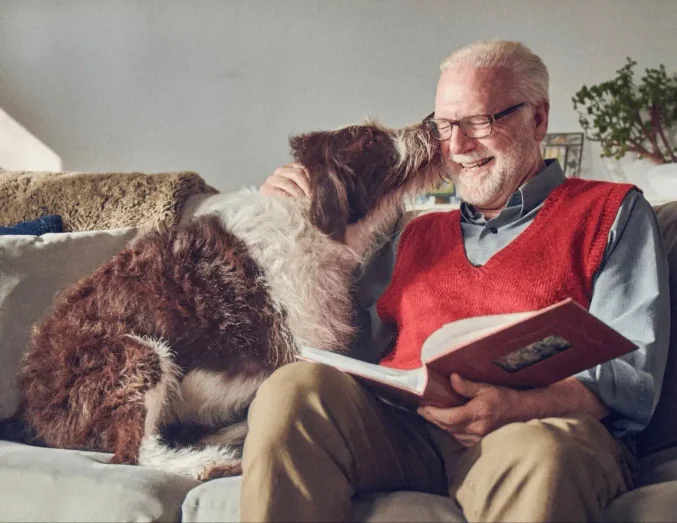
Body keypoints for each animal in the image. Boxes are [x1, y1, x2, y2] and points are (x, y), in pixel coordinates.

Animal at [18, 121, 440, 482]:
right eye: (370, 138)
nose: (433, 123)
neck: (309, 223)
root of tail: (33, 411)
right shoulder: (295, 348)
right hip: (138, 355)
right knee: (134, 454)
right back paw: (210, 463)